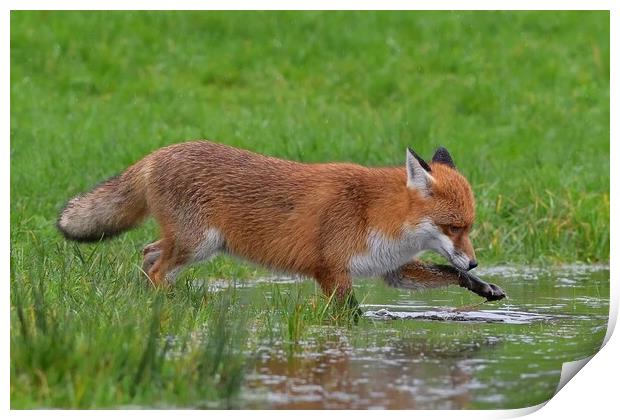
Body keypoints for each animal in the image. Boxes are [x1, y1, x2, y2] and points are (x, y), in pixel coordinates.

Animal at [58, 141, 502, 306]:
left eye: (469, 227)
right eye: (453, 227)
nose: (475, 261)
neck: (375, 215)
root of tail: (157, 153)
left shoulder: (394, 272)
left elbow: (448, 273)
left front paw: (481, 285)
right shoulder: (330, 271)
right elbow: (352, 317)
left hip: (192, 245)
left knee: (148, 254)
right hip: (198, 245)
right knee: (156, 266)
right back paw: (172, 304)